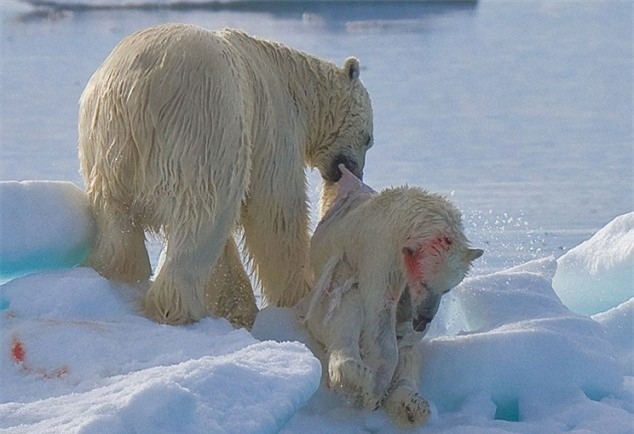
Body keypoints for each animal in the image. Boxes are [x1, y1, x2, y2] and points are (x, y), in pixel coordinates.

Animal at [79, 22, 376, 324]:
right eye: (369, 139)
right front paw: (297, 294)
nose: (353, 172)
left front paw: (237, 305)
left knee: (115, 216)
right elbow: (276, 209)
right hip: (202, 124)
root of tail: (137, 89)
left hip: (106, 141)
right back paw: (177, 306)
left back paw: (117, 275)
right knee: (202, 216)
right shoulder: (274, 122)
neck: (294, 80)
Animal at [304, 165, 482, 424]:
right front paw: (372, 393)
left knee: (410, 355)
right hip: (322, 302)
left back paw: (412, 405)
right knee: (346, 308)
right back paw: (355, 374)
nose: (424, 319)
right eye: (424, 283)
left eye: (447, 289)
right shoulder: (380, 253)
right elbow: (380, 314)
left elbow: (406, 337)